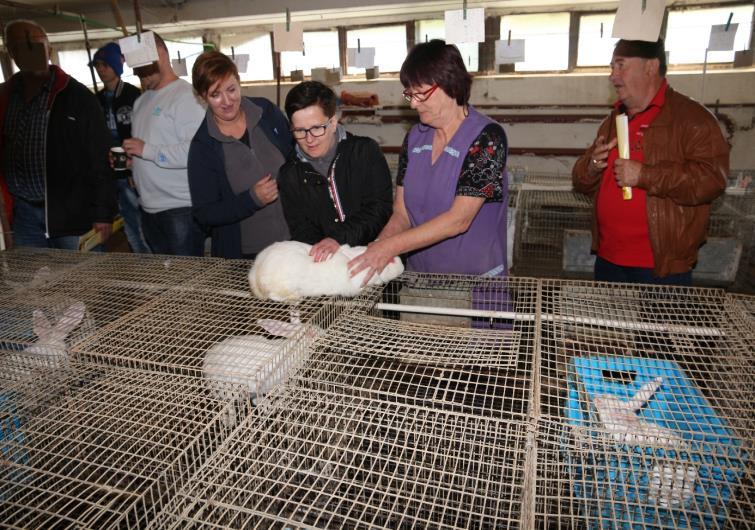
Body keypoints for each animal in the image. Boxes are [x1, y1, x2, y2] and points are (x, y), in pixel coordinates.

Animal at [248, 240, 404, 302]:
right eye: (393, 261)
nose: (403, 267)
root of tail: (257, 272)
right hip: (283, 286)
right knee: (275, 296)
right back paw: (296, 297)